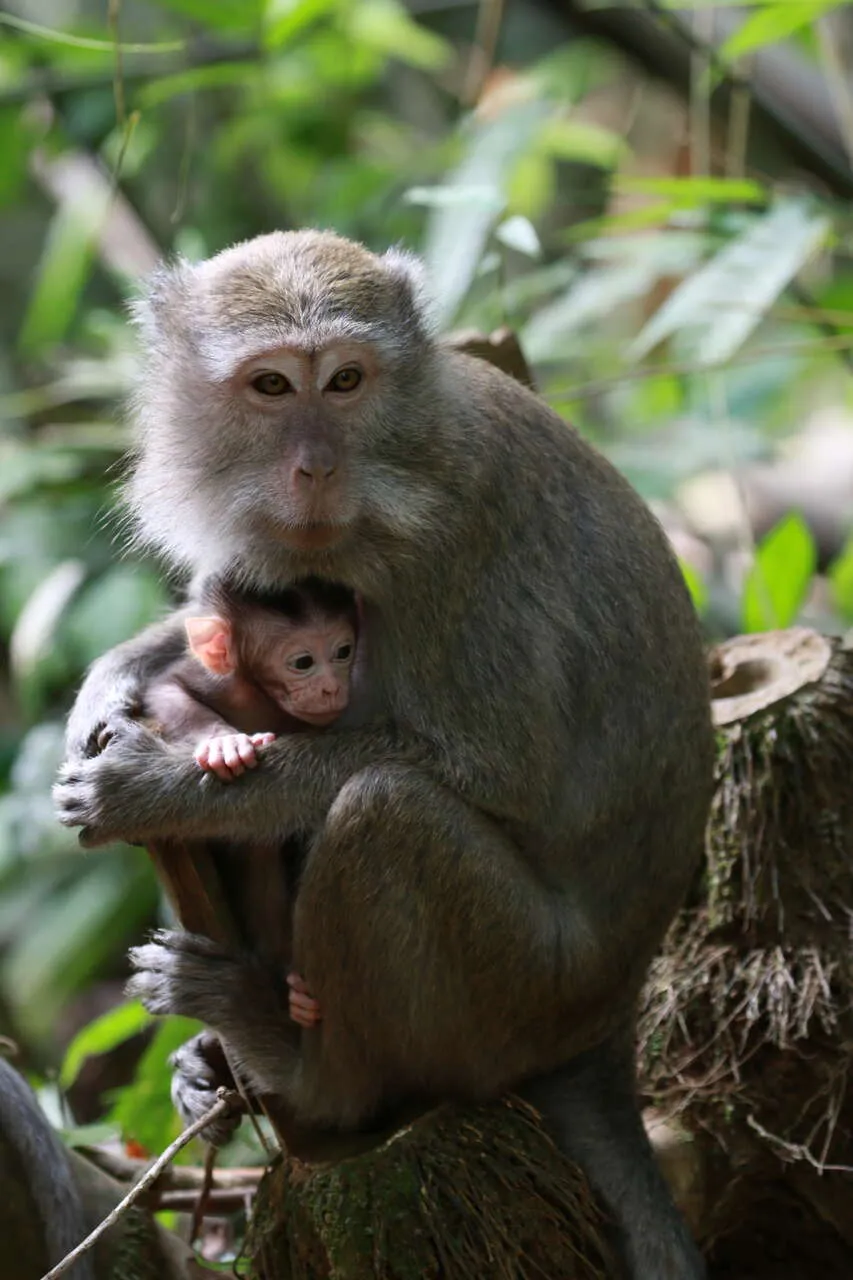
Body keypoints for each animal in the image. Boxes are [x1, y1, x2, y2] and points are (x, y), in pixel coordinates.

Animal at [55, 229, 714, 1278]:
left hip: (517, 992)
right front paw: (110, 684)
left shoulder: (451, 551)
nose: (315, 469)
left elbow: (493, 768)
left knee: (384, 813)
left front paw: (154, 792)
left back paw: (301, 1075)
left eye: (346, 380)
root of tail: (606, 1026)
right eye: (272, 386)